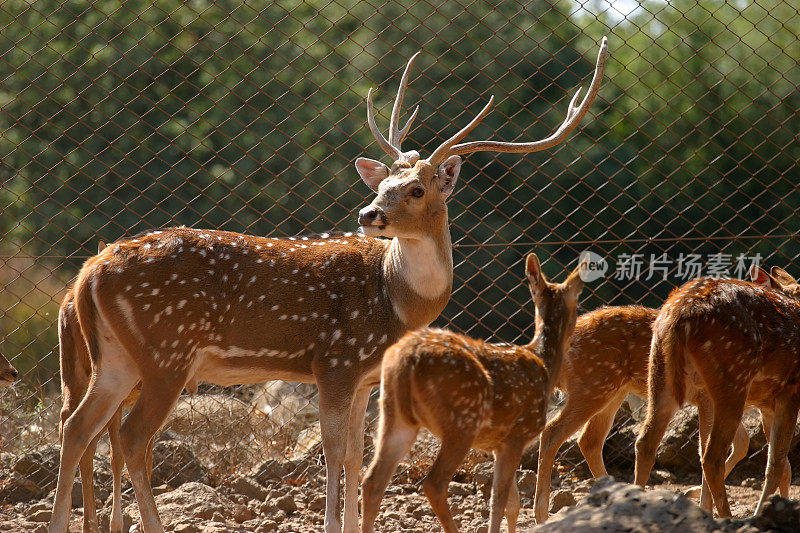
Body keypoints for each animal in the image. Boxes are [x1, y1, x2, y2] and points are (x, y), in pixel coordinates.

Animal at [362, 254, 588, 532]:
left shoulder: (499, 443)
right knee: (433, 483)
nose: (575, 334)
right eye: (578, 306)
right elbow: (498, 501)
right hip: (462, 419)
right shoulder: (518, 435)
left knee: (372, 481)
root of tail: (408, 359)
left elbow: (512, 504)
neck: (543, 363)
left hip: (393, 415)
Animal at [536, 306, 752, 520]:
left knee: (589, 440)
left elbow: (743, 442)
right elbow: (710, 449)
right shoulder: (708, 397)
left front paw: (695, 493)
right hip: (593, 386)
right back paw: (542, 515)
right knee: (552, 432)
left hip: (613, 390)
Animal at [636, 268, 800, 516]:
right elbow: (777, 463)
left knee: (646, 442)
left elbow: (783, 466)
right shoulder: (790, 391)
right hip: (732, 379)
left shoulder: (767, 404)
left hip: (660, 374)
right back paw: (726, 517)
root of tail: (680, 315)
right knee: (712, 456)